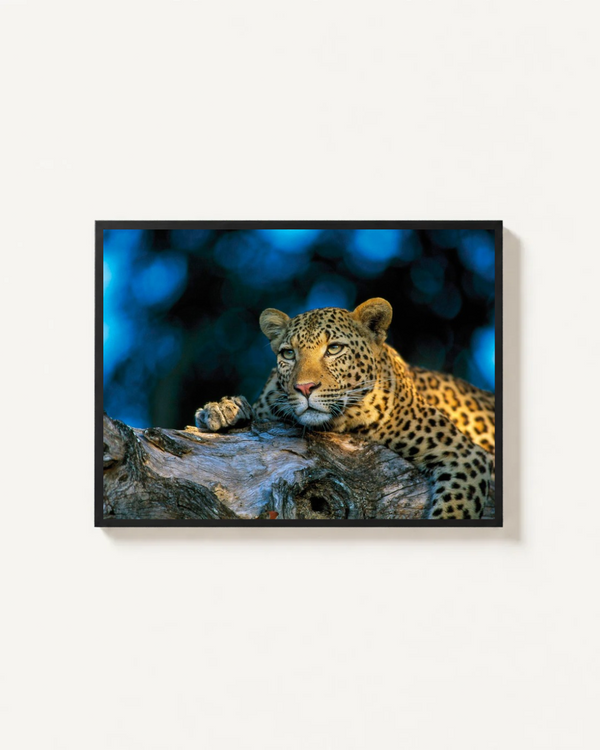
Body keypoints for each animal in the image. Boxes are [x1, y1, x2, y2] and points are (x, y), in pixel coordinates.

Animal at [195, 298, 495, 519]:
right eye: (288, 354)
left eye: (334, 349)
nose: (305, 388)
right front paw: (223, 410)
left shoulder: (463, 455)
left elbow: (454, 509)